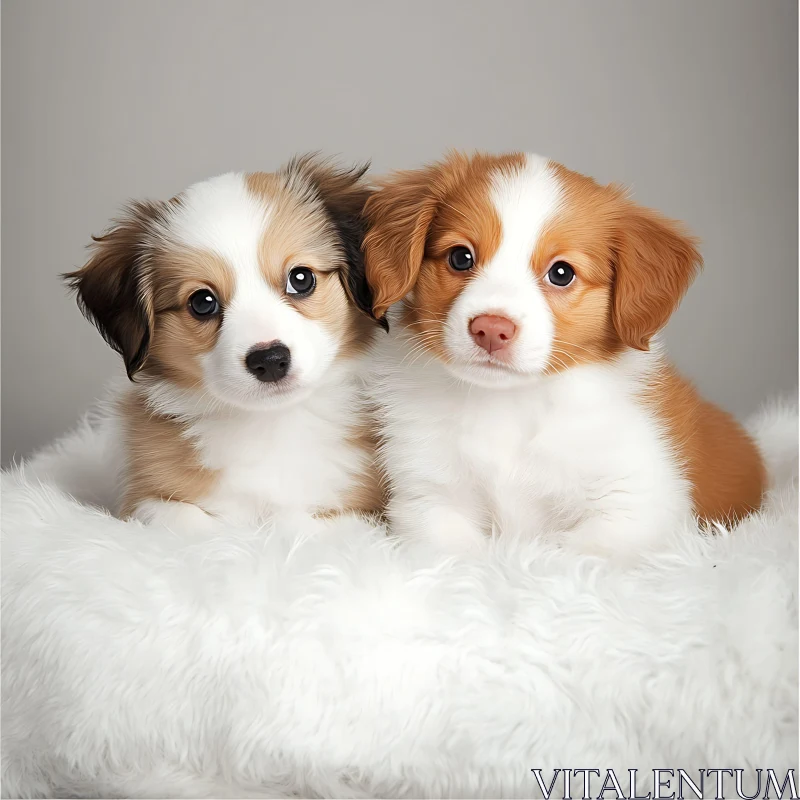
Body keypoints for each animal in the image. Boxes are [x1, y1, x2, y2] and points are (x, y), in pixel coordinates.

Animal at [65, 156, 384, 532]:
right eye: (202, 302)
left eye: (301, 278)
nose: (270, 360)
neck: (269, 425)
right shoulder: (144, 502)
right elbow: (194, 524)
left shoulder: (360, 515)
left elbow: (298, 524)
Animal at [360, 148, 764, 552]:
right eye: (461, 257)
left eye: (561, 273)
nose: (491, 329)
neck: (508, 403)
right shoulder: (427, 499)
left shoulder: (635, 508)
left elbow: (571, 554)